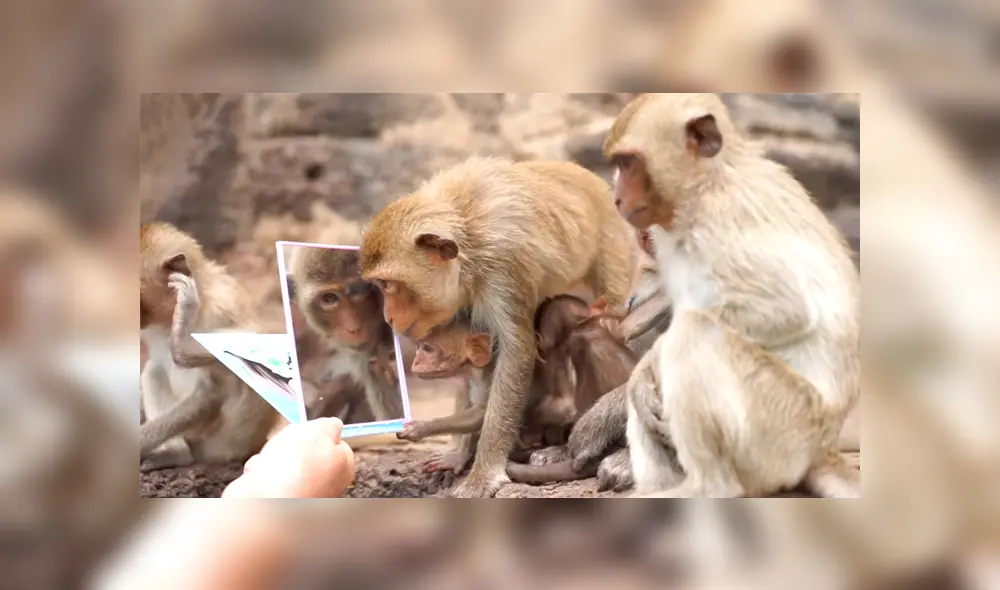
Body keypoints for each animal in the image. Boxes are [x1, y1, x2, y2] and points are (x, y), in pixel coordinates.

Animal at [360, 157, 636, 497]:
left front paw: (483, 473)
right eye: (378, 286)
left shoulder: (503, 266)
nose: (387, 318)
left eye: (387, 285)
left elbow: (516, 352)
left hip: (615, 252)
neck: (467, 233)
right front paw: (458, 454)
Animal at [604, 93, 860, 497]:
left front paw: (652, 356)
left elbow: (788, 309)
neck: (707, 184)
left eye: (629, 162)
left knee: (696, 332)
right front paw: (639, 378)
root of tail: (823, 449)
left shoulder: (722, 222)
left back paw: (708, 487)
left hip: (781, 432)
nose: (616, 199)